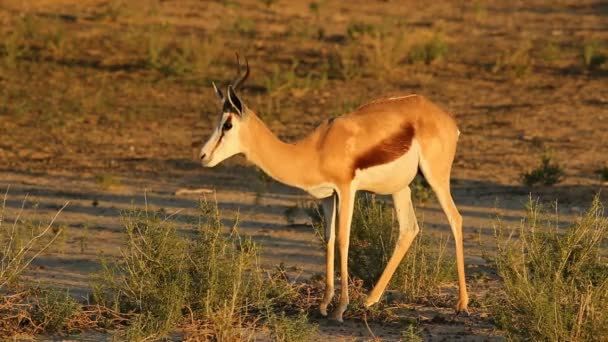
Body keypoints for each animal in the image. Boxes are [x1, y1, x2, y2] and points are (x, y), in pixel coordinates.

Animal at [200, 54, 470, 322]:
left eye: (227, 125)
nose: (203, 156)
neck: (315, 150)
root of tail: (445, 118)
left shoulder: (347, 189)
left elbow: (343, 239)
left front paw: (340, 309)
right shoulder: (327, 196)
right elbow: (328, 239)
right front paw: (323, 305)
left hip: (435, 178)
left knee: (455, 218)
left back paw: (462, 303)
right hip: (399, 188)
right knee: (408, 229)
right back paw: (370, 300)